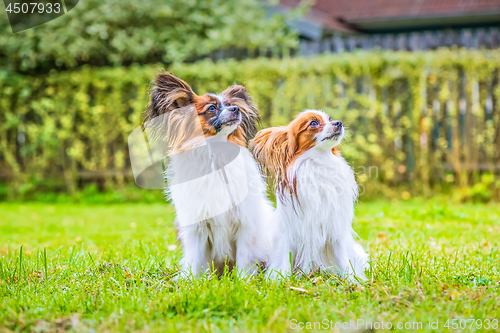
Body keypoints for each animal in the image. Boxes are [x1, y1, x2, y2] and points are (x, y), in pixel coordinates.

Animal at [143, 73, 272, 278]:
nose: (236, 109)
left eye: (230, 104)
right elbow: (194, 260)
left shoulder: (245, 223)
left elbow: (244, 258)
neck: (216, 156)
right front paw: (191, 281)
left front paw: (243, 281)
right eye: (212, 107)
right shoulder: (196, 227)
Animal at [250, 109, 368, 280]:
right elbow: (283, 259)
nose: (338, 123)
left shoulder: (336, 229)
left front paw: (352, 280)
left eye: (330, 119)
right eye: (313, 123)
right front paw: (280, 280)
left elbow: (343, 258)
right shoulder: (287, 232)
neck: (320, 163)